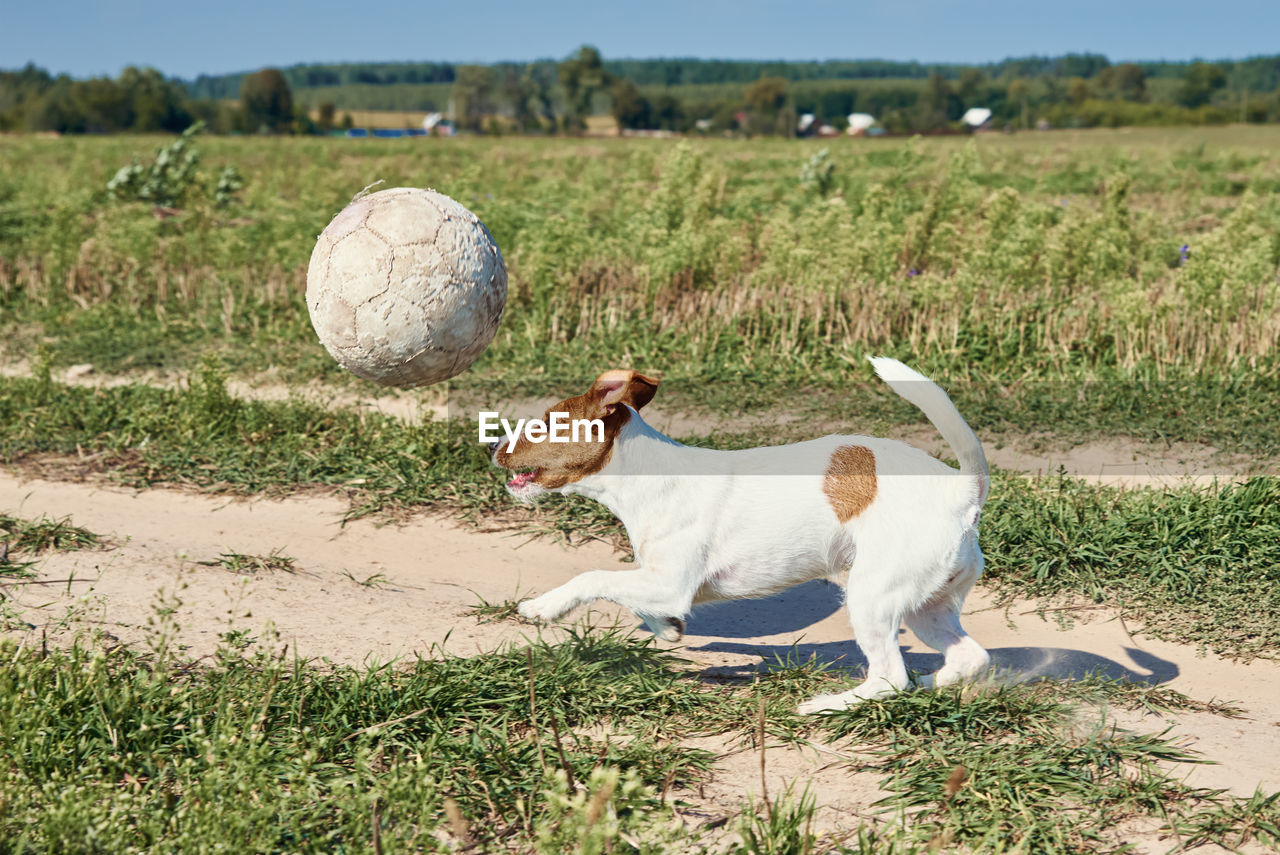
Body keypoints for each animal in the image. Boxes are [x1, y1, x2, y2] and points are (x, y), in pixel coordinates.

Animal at [486, 358, 988, 711]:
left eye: (543, 424)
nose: (491, 445)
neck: (647, 476)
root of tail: (962, 490)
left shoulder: (669, 581)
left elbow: (592, 577)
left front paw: (543, 606)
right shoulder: (662, 584)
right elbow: (633, 597)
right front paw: (667, 629)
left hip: (871, 595)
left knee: (889, 677)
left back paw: (826, 705)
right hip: (925, 606)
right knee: (970, 658)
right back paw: (929, 684)